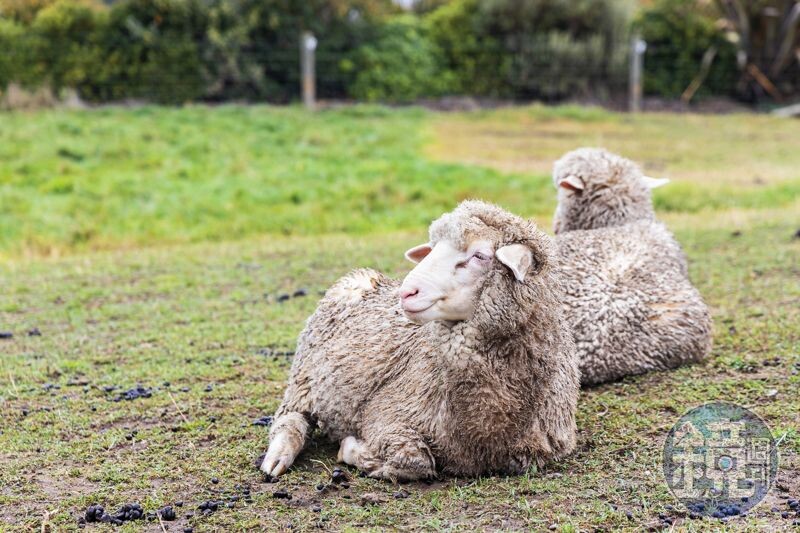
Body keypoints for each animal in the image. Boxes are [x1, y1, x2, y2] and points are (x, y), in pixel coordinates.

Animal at [260, 198, 580, 478]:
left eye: (479, 256)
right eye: (432, 249)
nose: (406, 292)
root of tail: (368, 278)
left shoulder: (538, 449)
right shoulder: (386, 414)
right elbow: (415, 460)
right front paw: (351, 448)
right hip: (303, 379)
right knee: (290, 418)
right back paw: (278, 457)